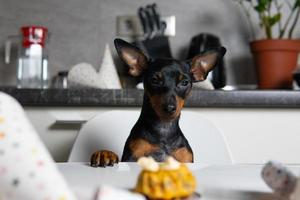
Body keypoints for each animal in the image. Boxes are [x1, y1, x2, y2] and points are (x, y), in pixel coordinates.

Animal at [90, 38, 226, 166]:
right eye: (155, 80)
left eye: (184, 82)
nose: (170, 108)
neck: (164, 129)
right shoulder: (132, 157)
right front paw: (105, 154)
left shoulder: (185, 159)